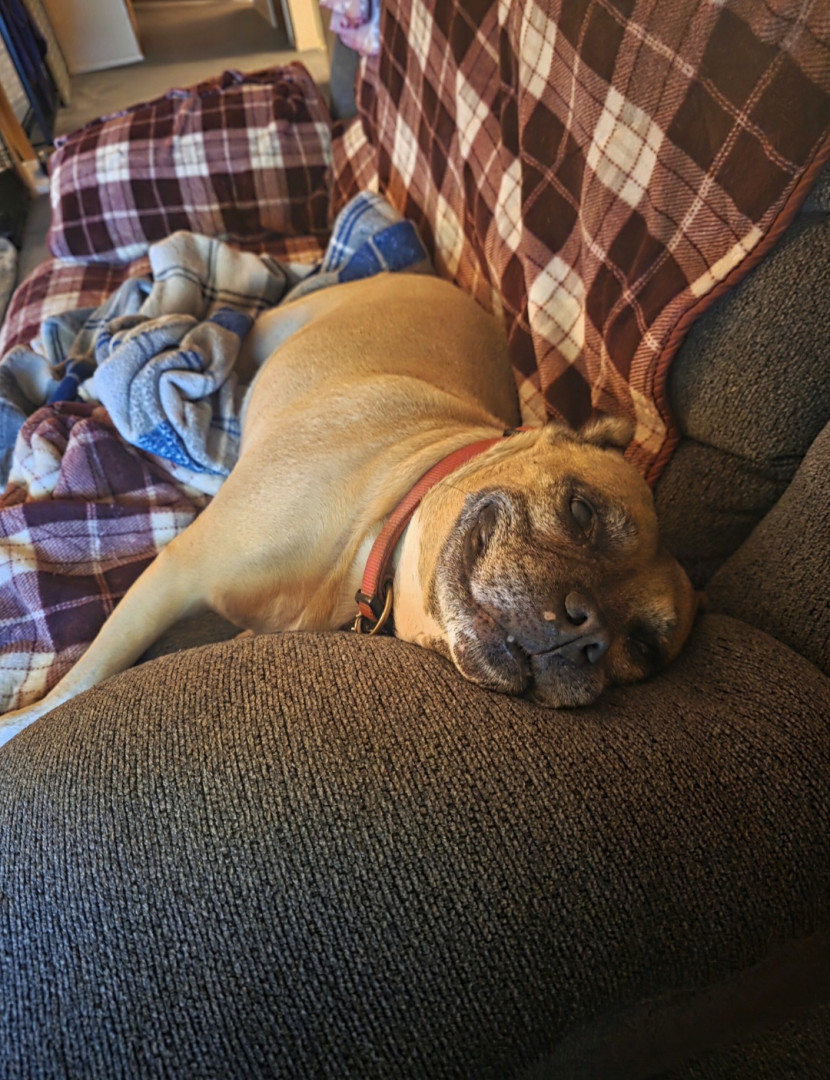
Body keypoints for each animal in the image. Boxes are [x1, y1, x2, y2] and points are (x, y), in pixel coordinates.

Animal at [0, 273, 698, 745]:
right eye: (582, 511)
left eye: (639, 652)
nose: (589, 631)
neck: (381, 530)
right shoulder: (174, 575)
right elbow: (77, 685)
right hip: (272, 328)